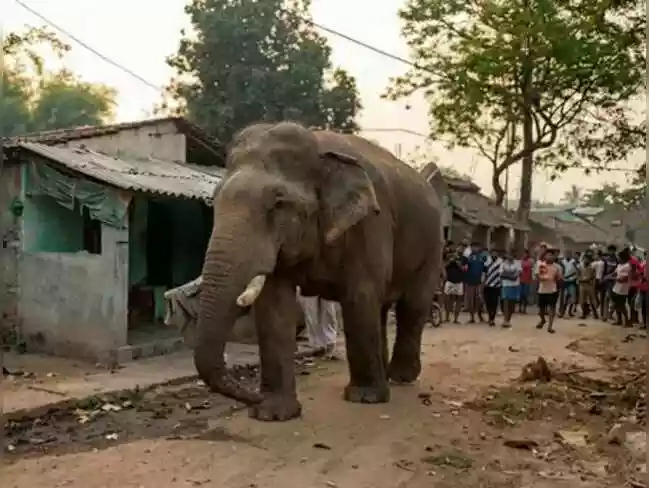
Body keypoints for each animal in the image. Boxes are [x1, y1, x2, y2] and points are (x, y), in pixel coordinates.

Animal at [195, 121, 443, 421]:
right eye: (214, 201)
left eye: (279, 203)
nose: (252, 396)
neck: (317, 146)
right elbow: (274, 307)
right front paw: (273, 413)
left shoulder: (371, 223)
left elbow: (360, 297)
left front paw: (365, 398)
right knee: (383, 308)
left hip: (432, 245)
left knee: (412, 306)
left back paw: (400, 378)